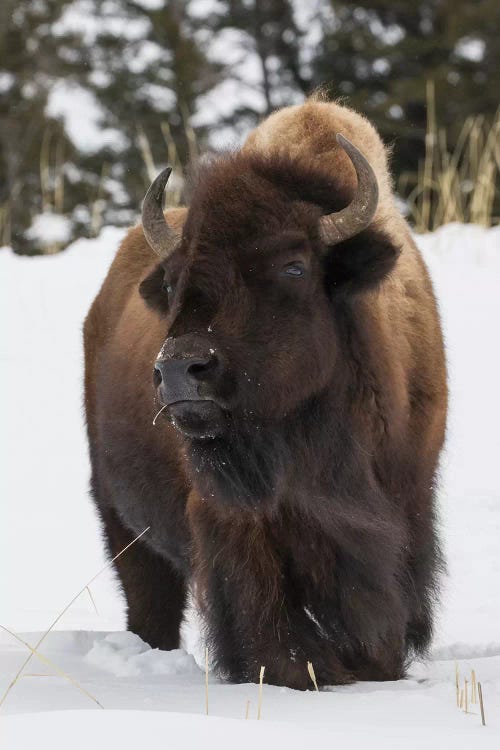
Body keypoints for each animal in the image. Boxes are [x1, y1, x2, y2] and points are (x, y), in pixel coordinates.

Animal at [84, 100, 448, 692]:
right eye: (174, 281)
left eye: (294, 266)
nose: (180, 369)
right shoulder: (235, 522)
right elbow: (269, 625)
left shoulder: (402, 511)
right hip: (121, 520)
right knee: (151, 603)